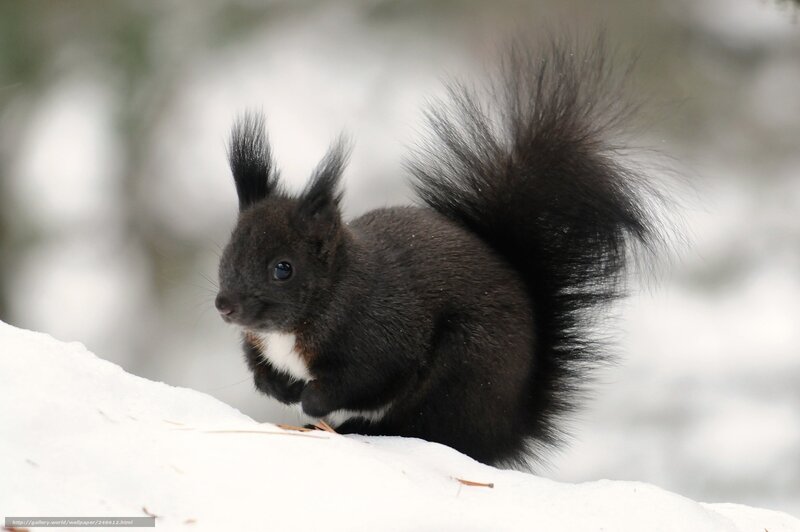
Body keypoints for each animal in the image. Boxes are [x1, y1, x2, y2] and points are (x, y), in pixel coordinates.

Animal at [214, 38, 660, 466]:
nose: (225, 306)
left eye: (283, 269)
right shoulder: (260, 345)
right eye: (227, 254)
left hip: (461, 374)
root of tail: (510, 428)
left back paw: (360, 427)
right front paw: (280, 388)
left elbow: (362, 382)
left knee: (429, 429)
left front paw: (310, 399)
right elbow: (261, 372)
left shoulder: (383, 338)